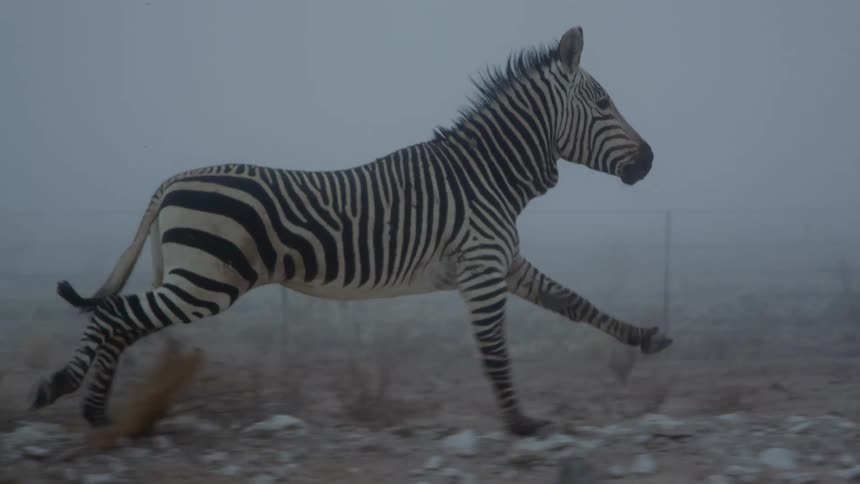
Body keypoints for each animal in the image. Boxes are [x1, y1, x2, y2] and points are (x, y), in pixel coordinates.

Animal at [31, 25, 671, 436]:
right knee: (113, 316)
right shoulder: (483, 269)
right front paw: (521, 422)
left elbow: (576, 302)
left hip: (190, 278)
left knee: (120, 321)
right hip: (205, 283)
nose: (650, 161)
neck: (486, 174)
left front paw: (646, 337)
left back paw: (96, 412)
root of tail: (171, 181)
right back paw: (60, 388)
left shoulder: (502, 262)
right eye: (603, 103)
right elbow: (495, 350)